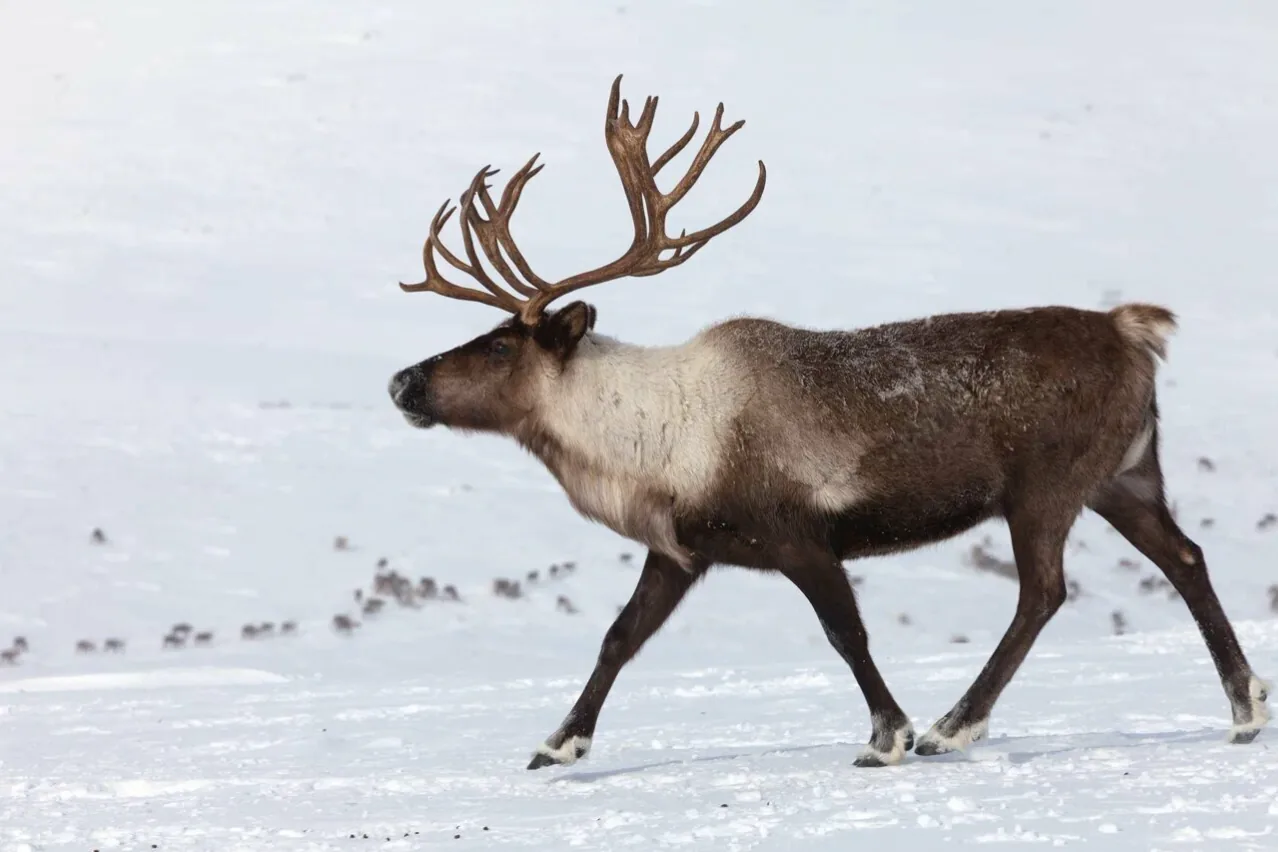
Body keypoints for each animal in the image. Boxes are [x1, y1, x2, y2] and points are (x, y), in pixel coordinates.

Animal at [386, 74, 1270, 770]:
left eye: (502, 344)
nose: (401, 381)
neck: (645, 440)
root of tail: (1132, 329)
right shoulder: (680, 550)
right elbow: (619, 637)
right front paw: (556, 743)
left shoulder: (800, 535)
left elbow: (848, 635)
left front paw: (888, 736)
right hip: (1127, 474)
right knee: (1185, 558)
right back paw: (1246, 707)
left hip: (1046, 486)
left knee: (1044, 591)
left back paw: (953, 726)